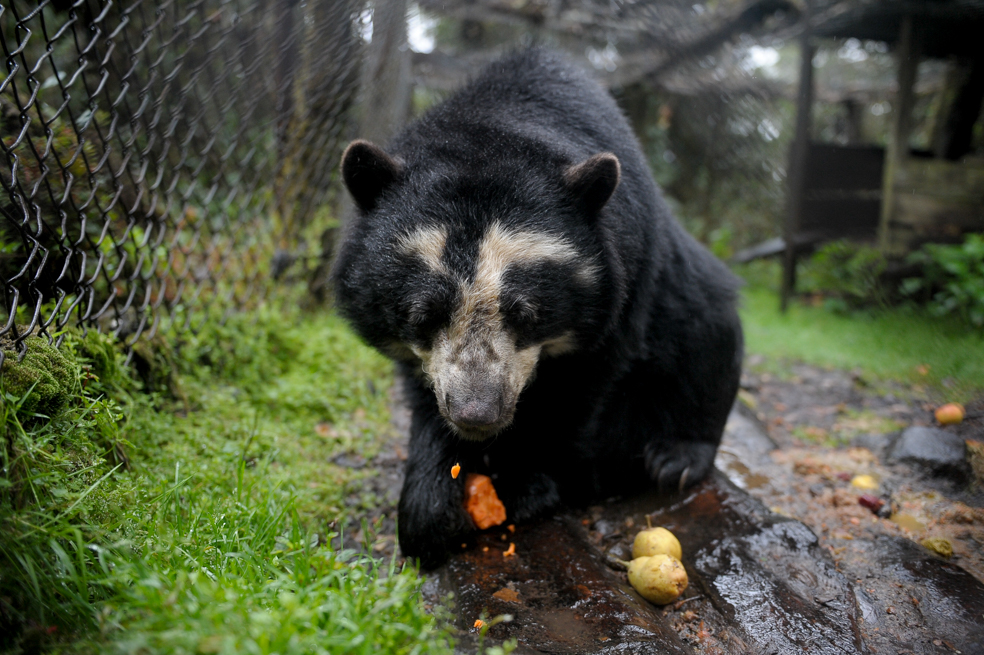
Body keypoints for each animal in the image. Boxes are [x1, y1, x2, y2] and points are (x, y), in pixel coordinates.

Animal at [332, 48, 743, 569]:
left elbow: (574, 391)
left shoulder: (622, 284)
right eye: (423, 315)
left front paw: (524, 485)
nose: (477, 414)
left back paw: (675, 459)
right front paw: (429, 510)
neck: (496, 124)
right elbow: (424, 396)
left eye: (527, 315)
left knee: (707, 334)